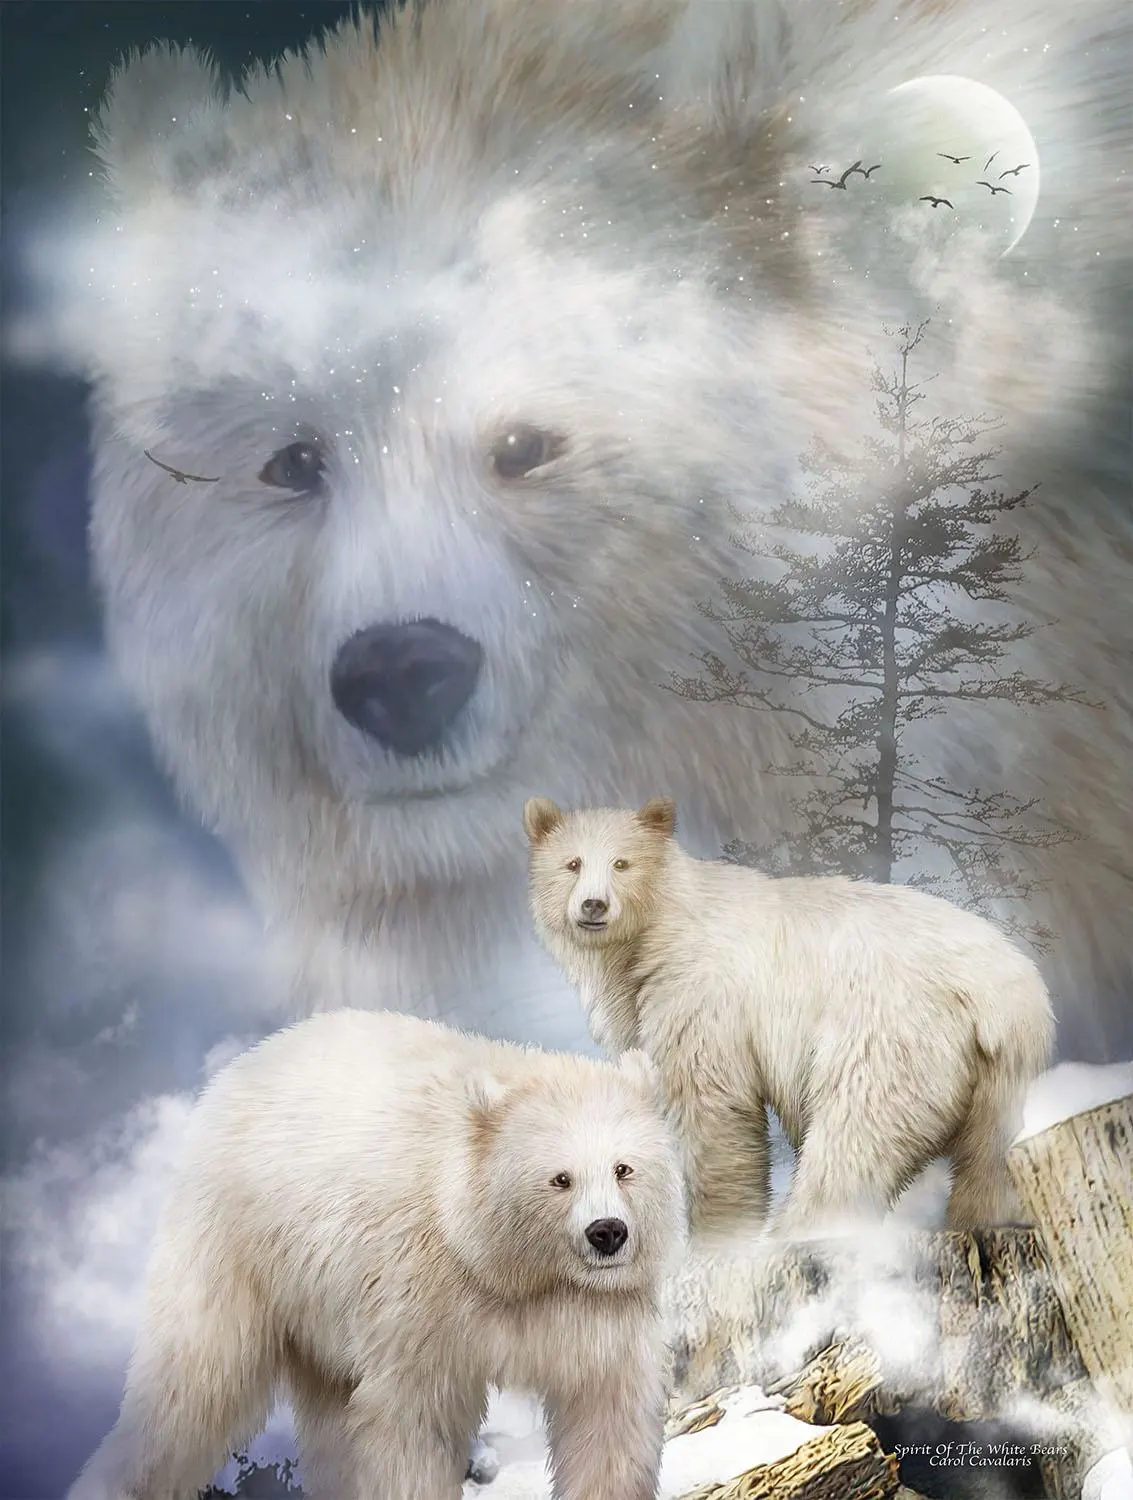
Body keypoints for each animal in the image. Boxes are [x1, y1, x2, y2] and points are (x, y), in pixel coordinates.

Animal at [65, 1009, 686, 1500]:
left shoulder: (593, 1314)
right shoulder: (420, 1296)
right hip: (240, 1245)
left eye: (624, 1168)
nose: (607, 1233)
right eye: (559, 1178)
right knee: (193, 1382)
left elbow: (606, 1416)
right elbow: (412, 1423)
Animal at [523, 796, 1055, 1240]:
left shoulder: (700, 991)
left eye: (622, 863)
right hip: (1001, 1075)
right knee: (989, 1158)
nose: (594, 904)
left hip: (890, 1033)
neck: (654, 931)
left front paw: (719, 1235)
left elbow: (713, 1107)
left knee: (854, 1135)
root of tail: (1004, 990)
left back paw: (799, 1231)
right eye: (572, 863)